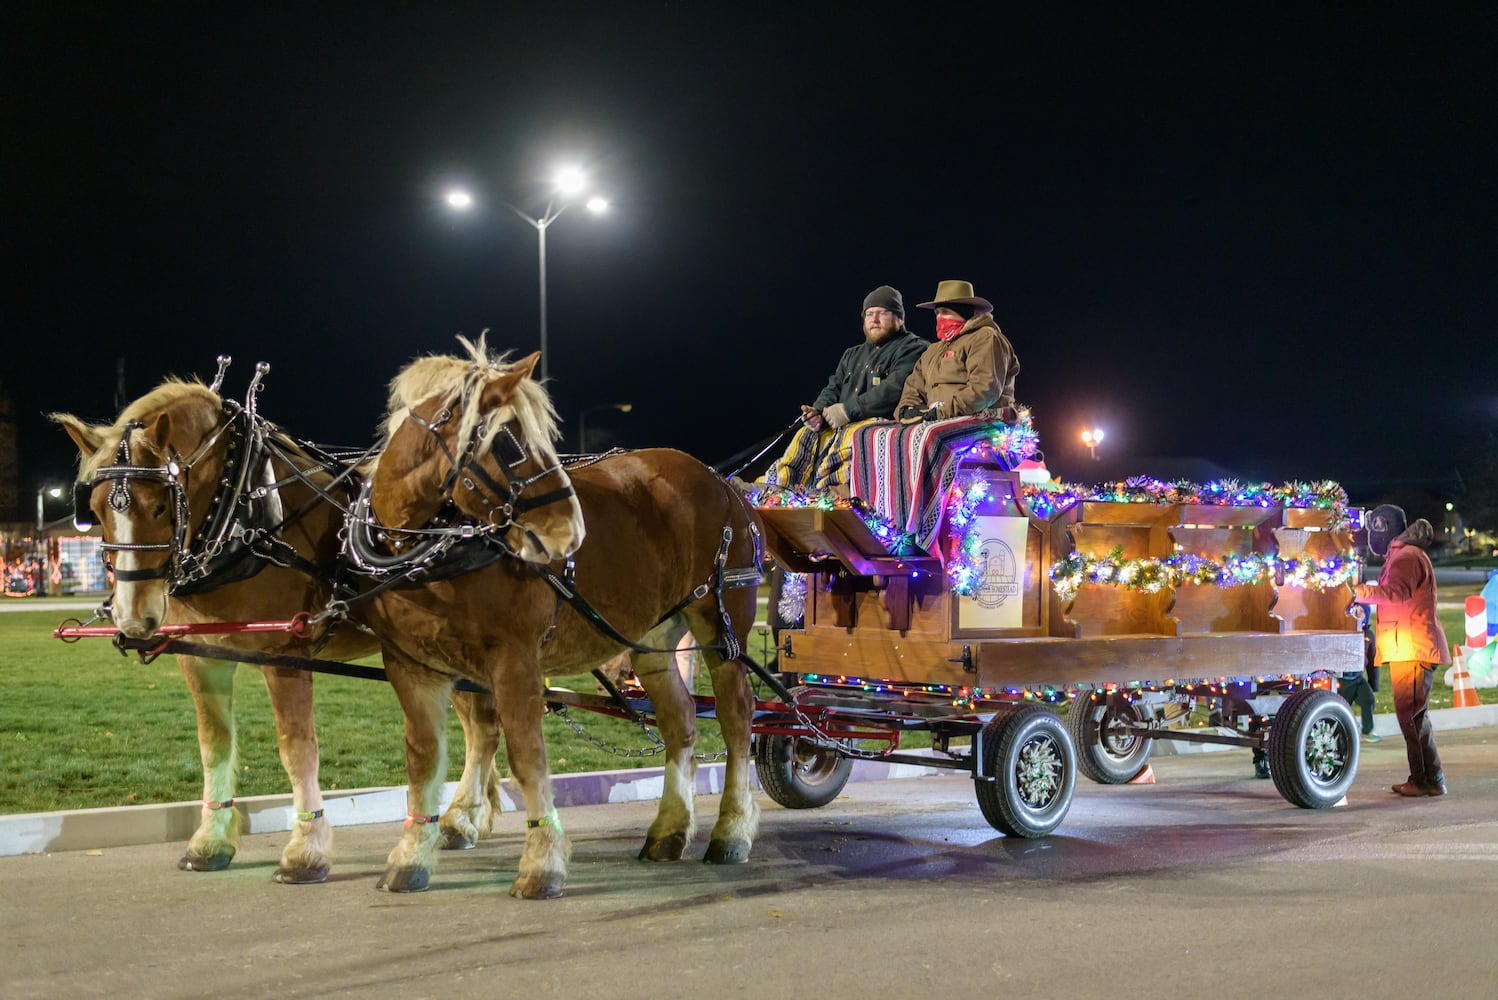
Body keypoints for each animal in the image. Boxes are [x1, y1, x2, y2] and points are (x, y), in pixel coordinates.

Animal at [52, 366, 500, 880]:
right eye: (96, 510)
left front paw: (307, 848)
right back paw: (474, 815)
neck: (241, 510)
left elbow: (296, 745)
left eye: (161, 506)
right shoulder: (201, 658)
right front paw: (210, 841)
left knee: (483, 730)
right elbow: (214, 743)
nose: (132, 618)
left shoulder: (285, 653)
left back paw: (461, 818)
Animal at [356, 339, 766, 892]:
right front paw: (411, 858)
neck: (432, 551)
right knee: (680, 721)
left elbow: (527, 757)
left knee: (736, 716)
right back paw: (668, 831)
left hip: (722, 626)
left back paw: (731, 831)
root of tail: (722, 481)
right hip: (654, 638)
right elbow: (423, 761)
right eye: (510, 444)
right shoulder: (410, 665)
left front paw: (541, 861)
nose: (572, 532)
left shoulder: (514, 660)